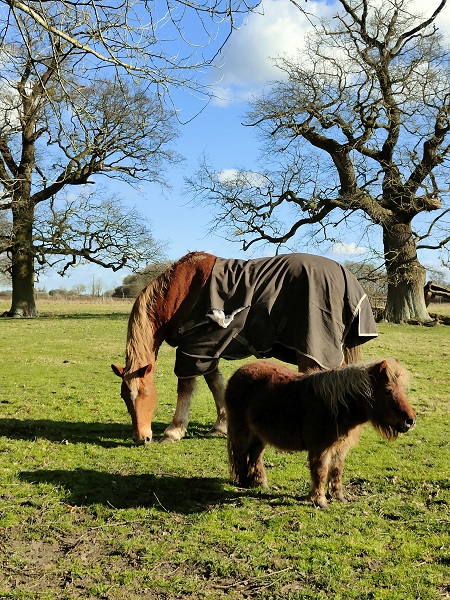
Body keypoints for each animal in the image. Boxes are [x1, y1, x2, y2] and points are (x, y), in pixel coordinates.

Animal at [110, 251, 378, 442]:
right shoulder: (206, 351)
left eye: (144, 393)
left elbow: (186, 388)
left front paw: (173, 431)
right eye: (124, 397)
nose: (141, 438)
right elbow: (216, 386)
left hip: (313, 348)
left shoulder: (193, 350)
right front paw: (221, 426)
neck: (180, 293)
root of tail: (346, 274)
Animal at [225, 358, 414, 508]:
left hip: (260, 435)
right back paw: (243, 482)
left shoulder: (340, 448)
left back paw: (260, 483)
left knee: (255, 455)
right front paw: (320, 500)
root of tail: (238, 373)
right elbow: (321, 472)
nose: (410, 421)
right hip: (242, 431)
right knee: (241, 453)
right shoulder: (320, 449)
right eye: (388, 391)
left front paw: (338, 496)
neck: (337, 407)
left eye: (402, 388)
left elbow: (337, 471)